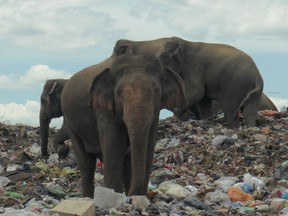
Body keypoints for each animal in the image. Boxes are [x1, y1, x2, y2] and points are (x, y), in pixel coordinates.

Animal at [61, 52, 187, 197]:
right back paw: (88, 198)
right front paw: (114, 196)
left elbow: (149, 147)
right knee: (86, 164)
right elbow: (115, 149)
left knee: (126, 164)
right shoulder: (103, 110)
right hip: (71, 124)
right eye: (119, 93)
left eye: (156, 90)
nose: (132, 195)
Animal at [112, 36, 264, 128]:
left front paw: (177, 116)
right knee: (249, 111)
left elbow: (197, 92)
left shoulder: (194, 66)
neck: (185, 42)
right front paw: (206, 120)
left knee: (229, 109)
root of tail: (257, 74)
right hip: (250, 89)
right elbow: (203, 99)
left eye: (162, 59)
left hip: (235, 84)